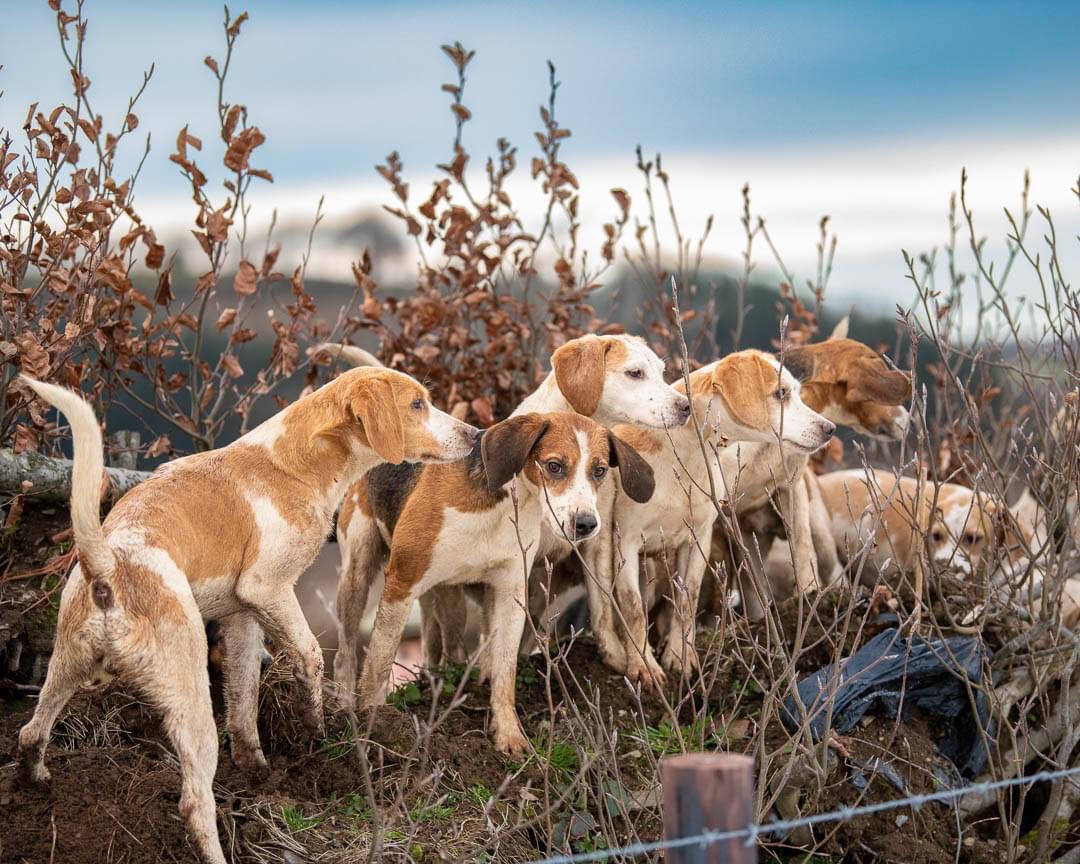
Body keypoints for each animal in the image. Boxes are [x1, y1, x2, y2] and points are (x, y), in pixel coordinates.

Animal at [14, 367, 479, 864]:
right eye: (417, 404)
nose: (476, 435)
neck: (293, 465)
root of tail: (108, 569)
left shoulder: (242, 617)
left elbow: (243, 706)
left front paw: (257, 769)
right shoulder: (268, 588)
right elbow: (310, 657)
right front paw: (314, 728)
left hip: (64, 669)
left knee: (30, 733)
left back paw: (34, 783)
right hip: (190, 696)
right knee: (194, 801)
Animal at [324, 336, 686, 682]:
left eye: (662, 372)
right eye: (635, 373)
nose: (685, 407)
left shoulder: (595, 543)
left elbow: (604, 606)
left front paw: (624, 659)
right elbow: (493, 628)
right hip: (358, 573)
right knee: (349, 651)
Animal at [341, 412, 652, 756]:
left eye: (599, 471)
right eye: (554, 466)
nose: (585, 524)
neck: (502, 506)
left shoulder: (510, 595)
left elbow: (505, 671)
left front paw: (508, 734)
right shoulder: (401, 582)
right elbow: (379, 663)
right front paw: (375, 725)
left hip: (450, 598)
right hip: (356, 572)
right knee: (345, 652)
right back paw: (343, 705)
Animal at [591, 347, 833, 686]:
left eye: (796, 392)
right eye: (781, 393)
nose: (829, 429)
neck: (684, 453)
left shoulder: (698, 539)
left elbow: (687, 600)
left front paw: (680, 656)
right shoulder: (625, 541)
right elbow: (633, 607)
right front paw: (644, 666)